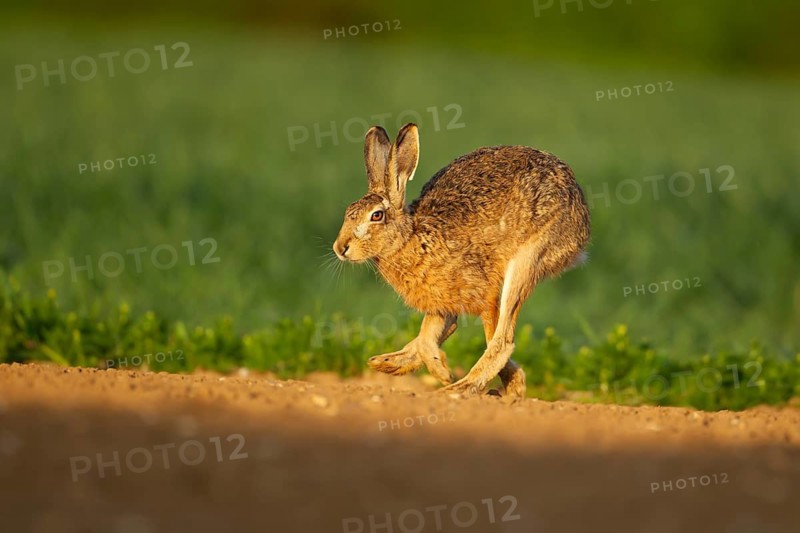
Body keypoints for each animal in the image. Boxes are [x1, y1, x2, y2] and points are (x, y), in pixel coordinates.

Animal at [333, 124, 590, 398]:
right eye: (348, 213)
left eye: (376, 216)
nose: (340, 248)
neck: (412, 238)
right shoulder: (441, 302)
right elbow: (429, 333)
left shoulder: (482, 292)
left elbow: (484, 335)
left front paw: (446, 374)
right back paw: (387, 362)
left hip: (527, 260)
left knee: (503, 340)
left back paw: (460, 387)